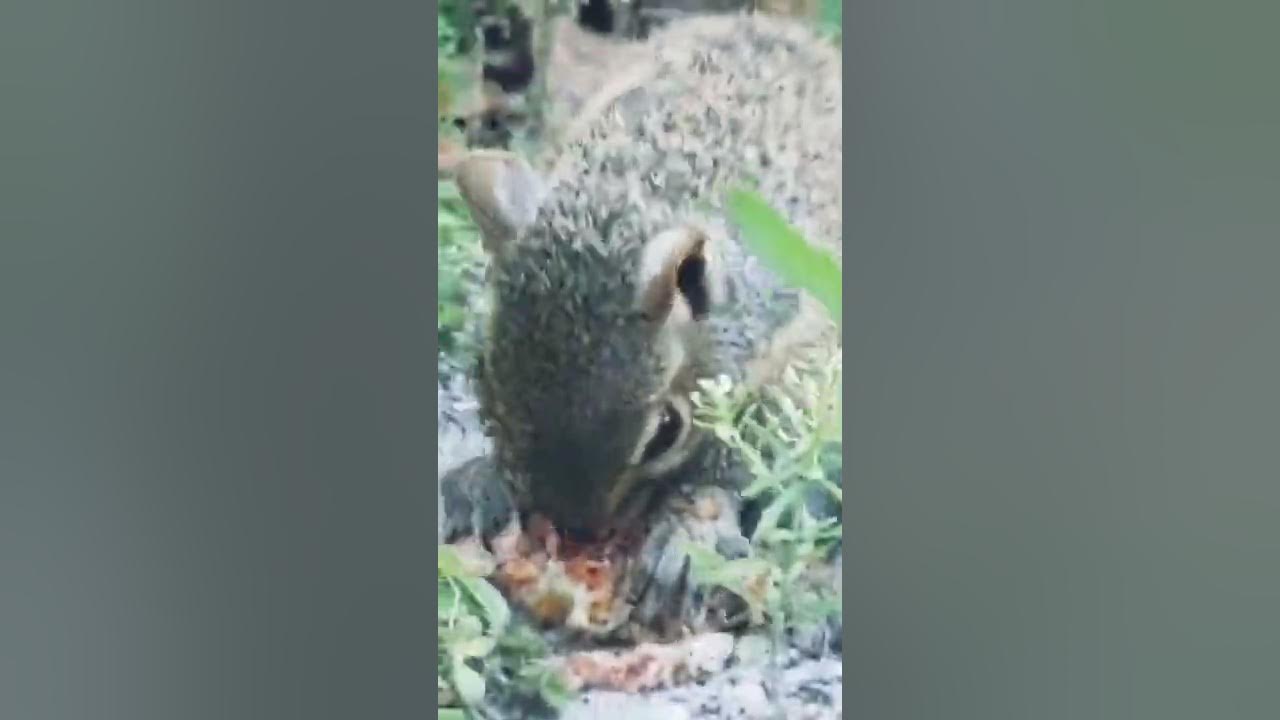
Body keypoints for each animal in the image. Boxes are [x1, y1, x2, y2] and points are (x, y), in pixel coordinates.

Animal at [440, 11, 841, 638]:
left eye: (665, 432)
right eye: (485, 379)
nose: (578, 531)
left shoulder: (793, 354)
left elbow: (746, 454)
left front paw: (691, 533)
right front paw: (481, 480)